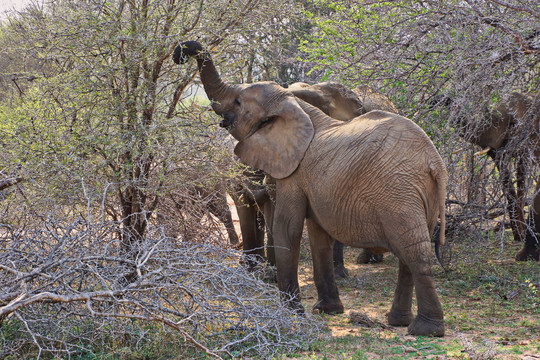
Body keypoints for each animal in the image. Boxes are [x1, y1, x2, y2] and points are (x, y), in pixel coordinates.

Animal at [174, 40, 448, 336]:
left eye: (238, 101)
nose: (179, 54)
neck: (295, 106)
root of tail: (436, 163)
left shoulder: (293, 174)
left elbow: (288, 229)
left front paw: (292, 314)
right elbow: (318, 237)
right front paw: (328, 310)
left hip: (399, 193)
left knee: (414, 252)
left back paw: (425, 330)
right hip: (421, 195)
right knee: (409, 255)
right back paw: (398, 321)